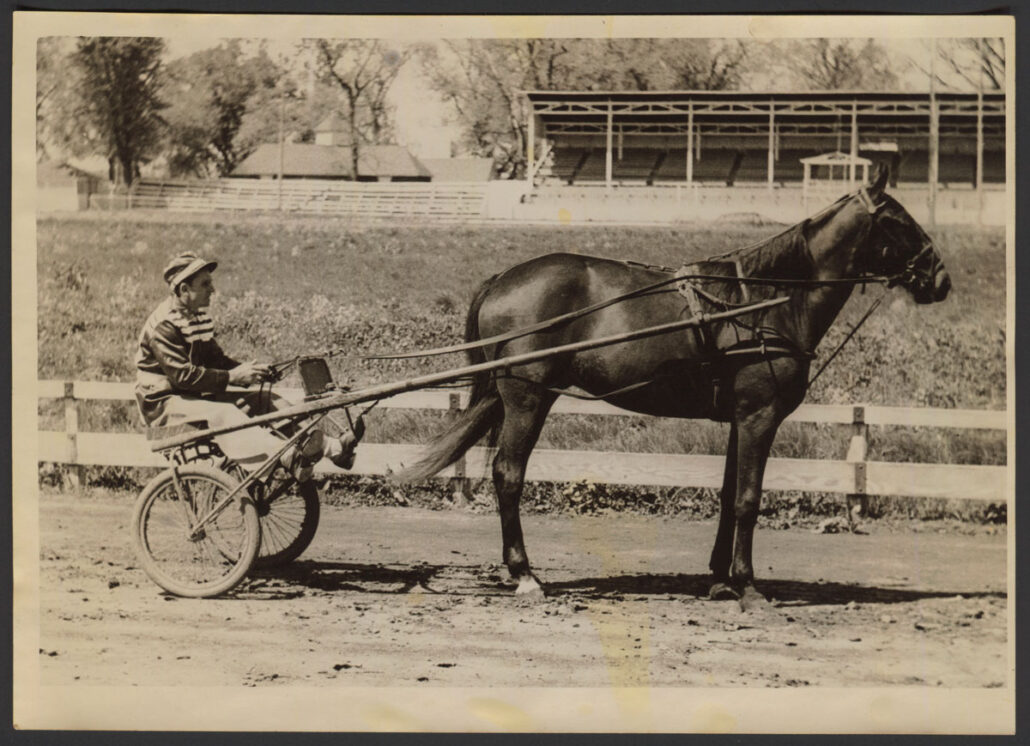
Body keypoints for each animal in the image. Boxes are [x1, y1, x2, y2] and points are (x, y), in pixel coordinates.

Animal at [393, 165, 947, 609]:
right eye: (897, 219)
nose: (939, 278)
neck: (763, 303)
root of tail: (505, 277)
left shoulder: (739, 419)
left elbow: (728, 494)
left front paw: (720, 579)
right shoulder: (760, 416)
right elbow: (749, 499)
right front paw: (748, 586)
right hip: (528, 399)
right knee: (508, 475)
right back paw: (525, 575)